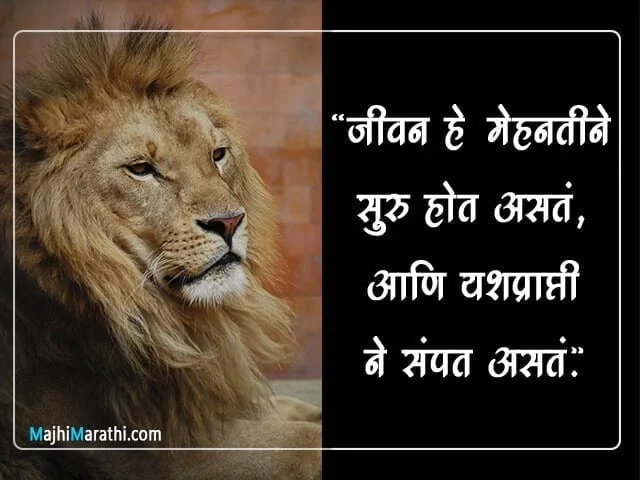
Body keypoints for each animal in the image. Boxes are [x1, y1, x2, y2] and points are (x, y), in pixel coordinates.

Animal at [0, 14, 322, 480]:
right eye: (141, 168)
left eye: (217, 154)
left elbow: (287, 406)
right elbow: (305, 443)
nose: (229, 221)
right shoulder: (152, 452)